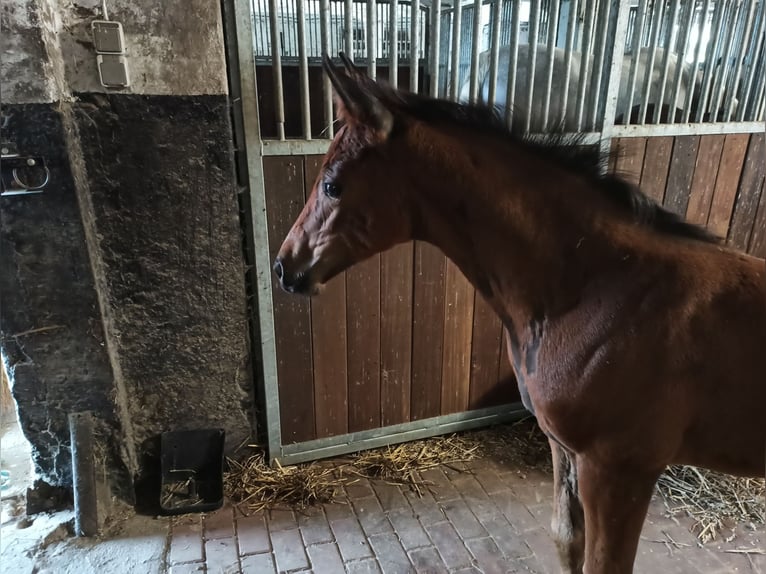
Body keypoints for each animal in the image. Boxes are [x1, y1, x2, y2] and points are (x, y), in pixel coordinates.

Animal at [272, 55, 764, 574]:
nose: (285, 267)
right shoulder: (565, 451)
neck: (600, 287)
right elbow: (567, 541)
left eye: (332, 185)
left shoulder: (621, 469)